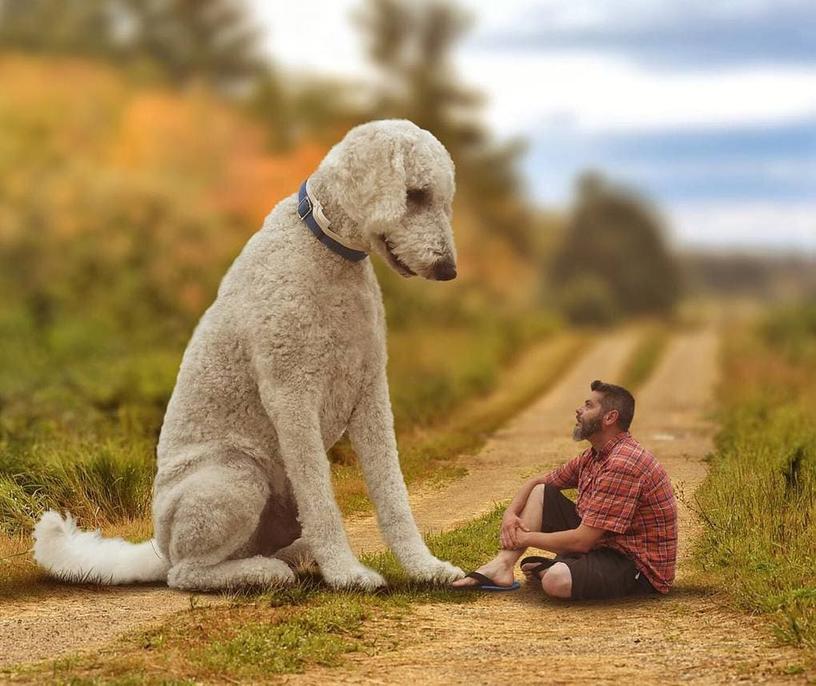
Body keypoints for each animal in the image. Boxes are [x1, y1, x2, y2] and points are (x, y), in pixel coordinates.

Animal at [33, 118, 466, 592]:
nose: (448, 270)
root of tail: (160, 548)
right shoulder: (292, 394)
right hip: (235, 475)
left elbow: (393, 495)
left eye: (443, 200)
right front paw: (347, 574)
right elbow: (322, 501)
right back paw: (266, 572)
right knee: (188, 573)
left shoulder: (369, 391)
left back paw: (291, 558)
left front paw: (426, 568)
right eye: (415, 194)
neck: (325, 248)